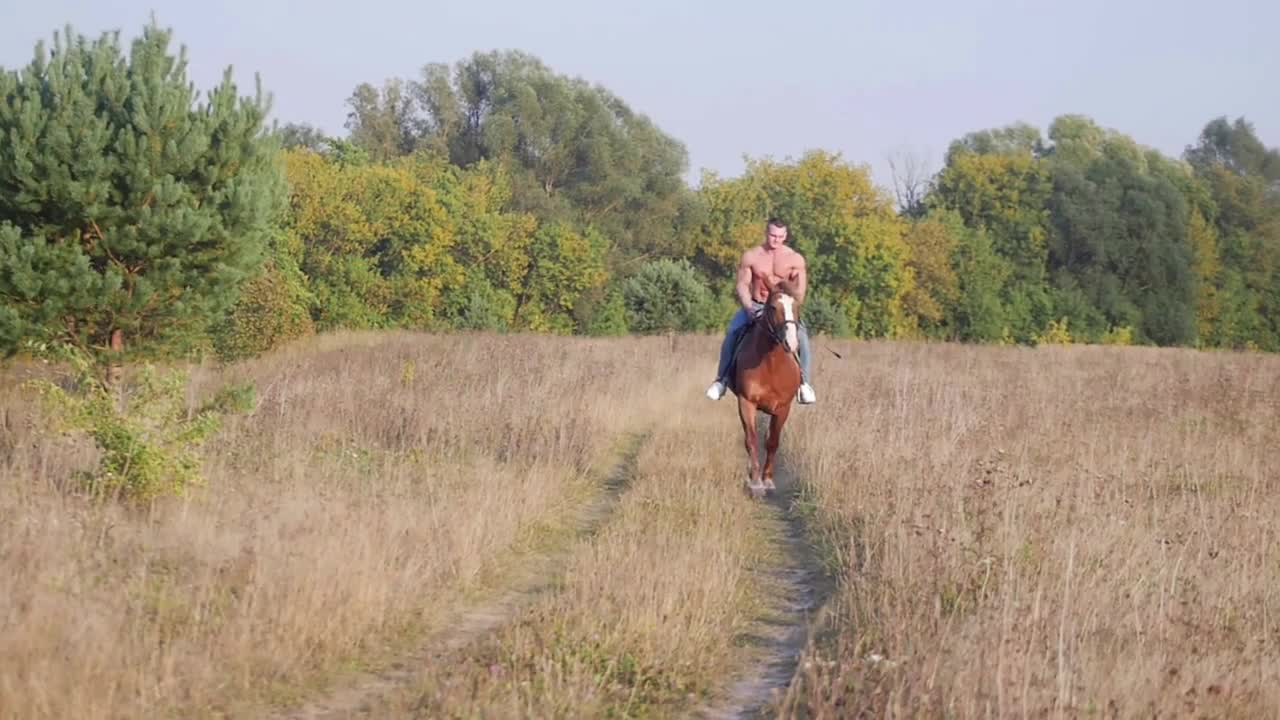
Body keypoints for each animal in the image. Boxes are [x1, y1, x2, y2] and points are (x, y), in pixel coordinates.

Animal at [732, 275, 798, 499]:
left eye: (796, 306)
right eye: (773, 307)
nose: (791, 343)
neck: (771, 364)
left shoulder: (783, 408)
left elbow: (772, 442)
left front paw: (767, 480)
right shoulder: (746, 402)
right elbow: (750, 440)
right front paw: (755, 482)